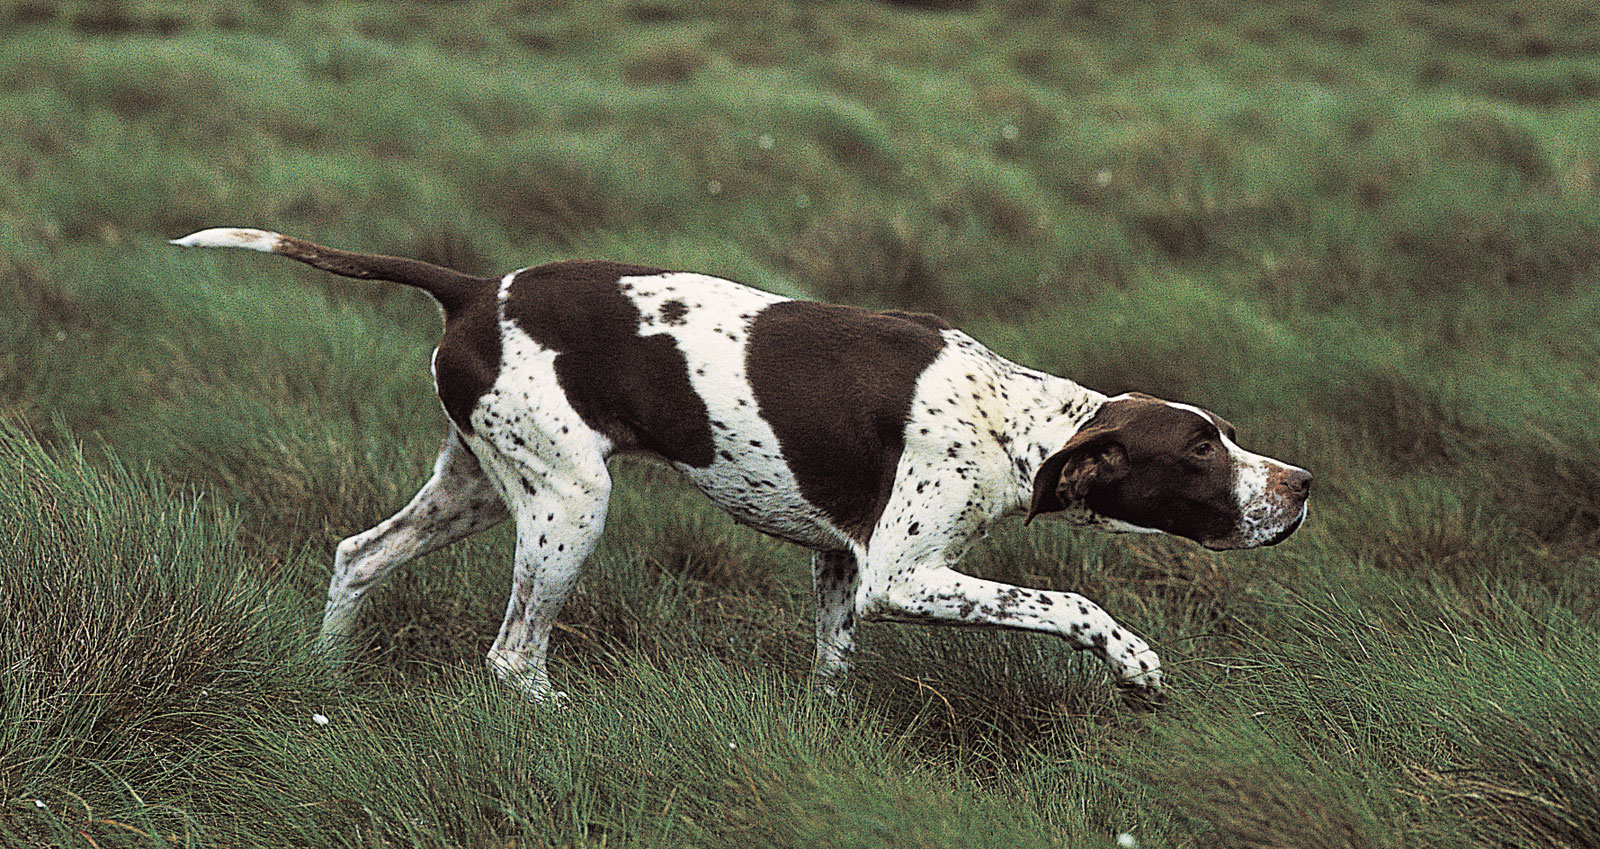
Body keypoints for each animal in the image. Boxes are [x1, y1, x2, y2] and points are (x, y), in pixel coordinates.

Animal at [172, 228, 1312, 700]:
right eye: (1201, 448)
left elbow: (832, 673)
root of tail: (471, 287)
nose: (1302, 487)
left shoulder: (842, 570)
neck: (1011, 418)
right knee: (511, 656)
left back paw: (321, 678)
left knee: (357, 556)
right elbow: (1071, 604)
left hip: (482, 487)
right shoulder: (903, 576)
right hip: (569, 504)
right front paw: (1135, 664)